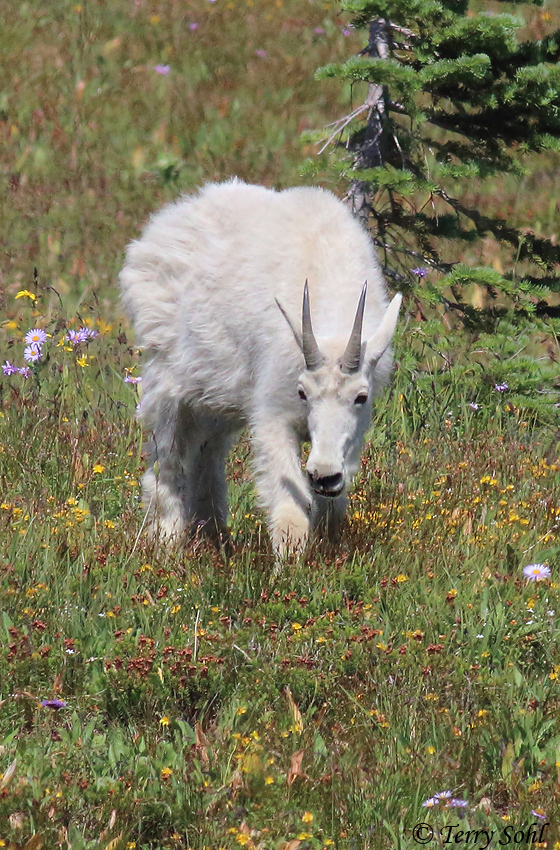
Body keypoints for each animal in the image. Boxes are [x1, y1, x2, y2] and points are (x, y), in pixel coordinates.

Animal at [120, 180, 401, 556]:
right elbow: (288, 505)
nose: (323, 475)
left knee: (207, 454)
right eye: (302, 393)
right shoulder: (273, 411)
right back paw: (167, 539)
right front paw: (290, 563)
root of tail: (164, 223)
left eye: (361, 397)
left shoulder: (352, 434)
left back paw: (213, 536)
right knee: (167, 455)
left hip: (216, 398)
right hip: (166, 375)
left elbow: (332, 502)